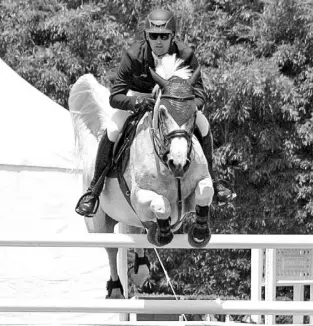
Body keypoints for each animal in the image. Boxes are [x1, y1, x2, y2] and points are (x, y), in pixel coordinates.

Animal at [68, 55, 213, 298]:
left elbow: (205, 191)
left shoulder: (192, 195)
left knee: (137, 234)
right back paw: (115, 288)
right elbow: (161, 204)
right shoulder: (139, 196)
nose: (179, 163)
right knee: (111, 249)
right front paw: (163, 233)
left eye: (194, 112)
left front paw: (200, 231)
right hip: (99, 223)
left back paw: (141, 266)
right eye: (162, 113)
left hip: (129, 220)